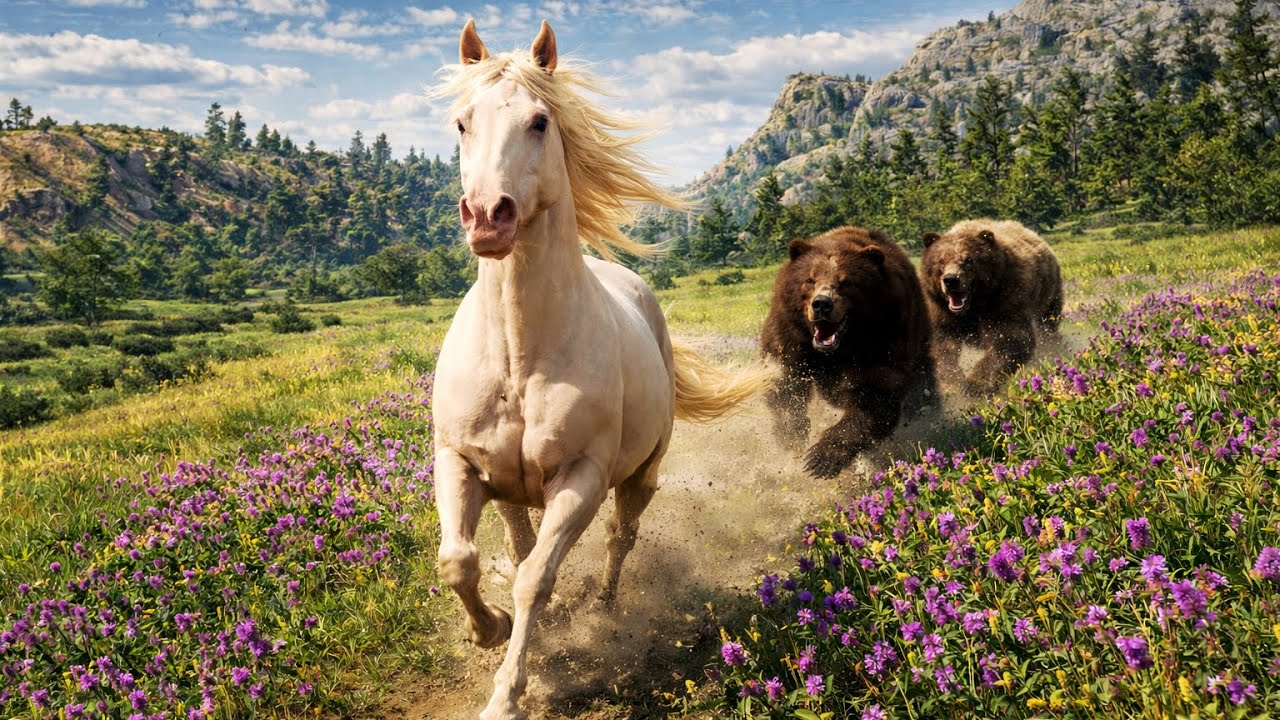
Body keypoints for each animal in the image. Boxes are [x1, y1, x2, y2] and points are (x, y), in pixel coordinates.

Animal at [431, 19, 769, 720]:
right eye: (461, 123)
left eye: (538, 121)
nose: (488, 216)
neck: (519, 354)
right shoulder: (457, 459)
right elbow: (458, 560)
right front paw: (490, 629)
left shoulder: (581, 477)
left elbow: (535, 578)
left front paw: (507, 693)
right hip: (508, 489)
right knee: (515, 540)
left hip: (640, 475)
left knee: (619, 537)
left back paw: (607, 606)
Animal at [760, 226, 937, 478]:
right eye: (810, 280)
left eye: (845, 282)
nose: (822, 304)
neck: (839, 349)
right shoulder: (790, 335)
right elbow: (784, 384)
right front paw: (791, 432)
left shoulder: (885, 341)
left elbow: (874, 399)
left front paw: (820, 459)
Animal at [919, 218, 1063, 398]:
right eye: (941, 261)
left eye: (969, 260)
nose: (951, 280)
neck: (973, 307)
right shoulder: (942, 312)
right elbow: (942, 346)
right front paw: (952, 383)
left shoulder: (1004, 300)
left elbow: (1009, 340)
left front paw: (975, 385)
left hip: (1047, 293)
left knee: (1048, 324)